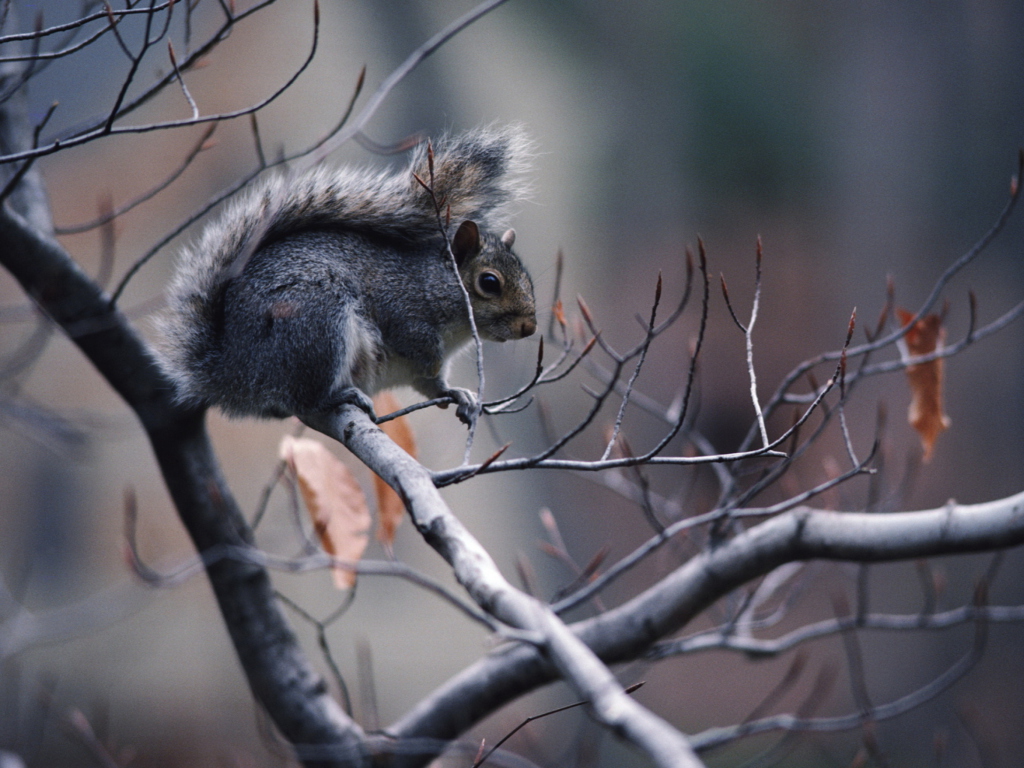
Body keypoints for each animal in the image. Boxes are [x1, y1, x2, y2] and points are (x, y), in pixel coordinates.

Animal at [156, 126, 540, 428]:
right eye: (489, 283)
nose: (529, 328)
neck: (435, 287)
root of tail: (231, 372)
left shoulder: (422, 371)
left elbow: (432, 386)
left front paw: (459, 394)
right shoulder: (404, 310)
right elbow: (416, 346)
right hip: (316, 323)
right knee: (302, 398)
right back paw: (339, 397)